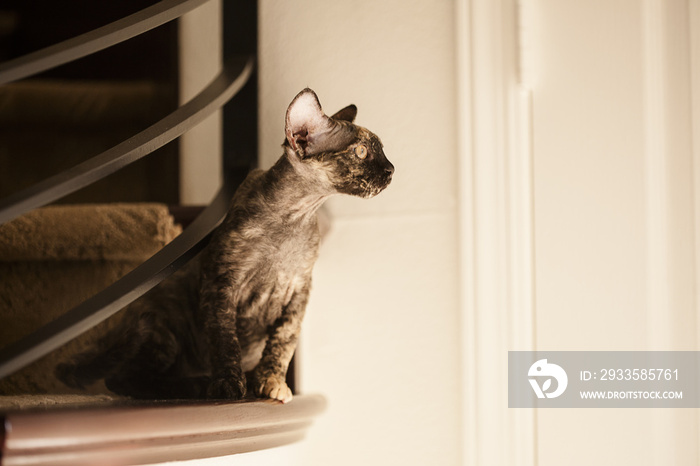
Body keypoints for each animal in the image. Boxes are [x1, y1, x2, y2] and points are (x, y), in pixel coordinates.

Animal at [54, 89, 394, 402]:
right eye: (361, 151)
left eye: (382, 151)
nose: (391, 170)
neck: (293, 221)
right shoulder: (222, 284)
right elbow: (225, 340)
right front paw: (229, 384)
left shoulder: (299, 291)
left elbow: (283, 342)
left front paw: (270, 382)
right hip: (163, 328)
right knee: (122, 379)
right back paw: (193, 385)